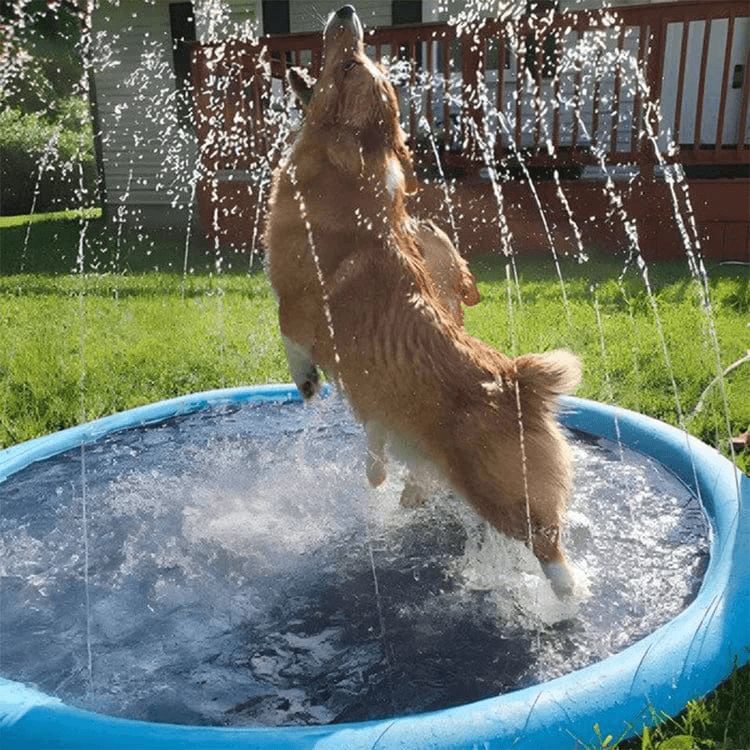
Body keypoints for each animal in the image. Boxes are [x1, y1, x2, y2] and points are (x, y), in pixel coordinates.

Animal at [264, 4, 580, 592]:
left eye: (348, 67)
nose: (347, 12)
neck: (347, 178)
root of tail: (519, 383)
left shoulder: (296, 306)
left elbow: (291, 340)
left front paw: (307, 384)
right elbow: (373, 435)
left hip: (501, 495)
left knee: (551, 550)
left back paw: (562, 600)